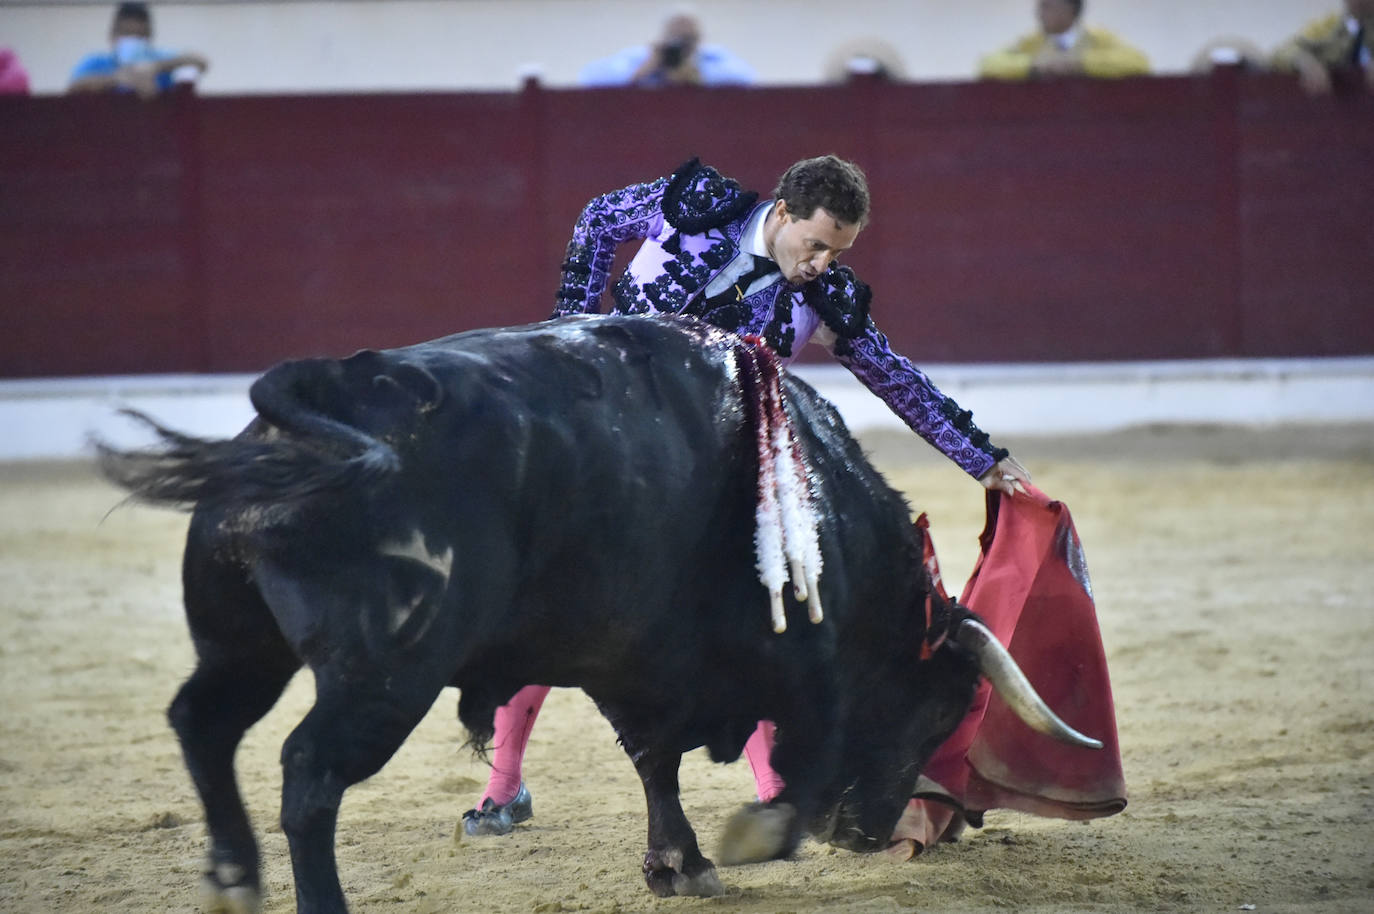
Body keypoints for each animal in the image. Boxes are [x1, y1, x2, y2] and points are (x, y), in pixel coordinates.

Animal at [96, 311, 1099, 907]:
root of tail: (323, 393)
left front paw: (680, 864)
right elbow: (799, 750)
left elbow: (654, 762)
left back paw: (233, 874)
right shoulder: (802, 659)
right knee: (308, 773)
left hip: (243, 643)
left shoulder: (631, 658)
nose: (872, 832)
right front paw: (752, 836)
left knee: (201, 720)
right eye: (940, 709)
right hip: (385, 674)